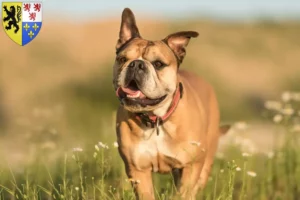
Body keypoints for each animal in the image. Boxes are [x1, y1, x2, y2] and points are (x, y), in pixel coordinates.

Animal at [112, 8, 230, 200]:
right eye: (122, 59)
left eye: (158, 64)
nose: (136, 64)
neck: (156, 119)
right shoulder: (138, 170)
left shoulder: (190, 167)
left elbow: (184, 193)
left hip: (203, 166)